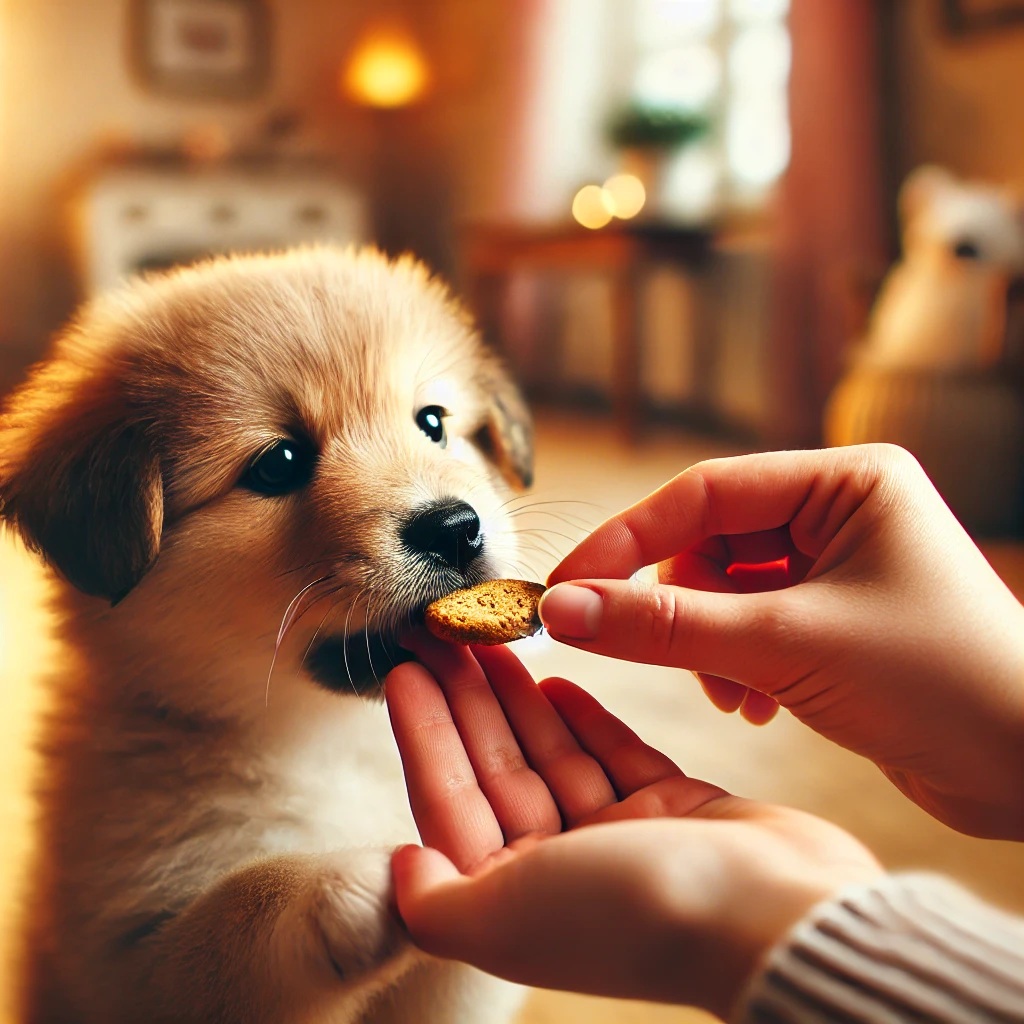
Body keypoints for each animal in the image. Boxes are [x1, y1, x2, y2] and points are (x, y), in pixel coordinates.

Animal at [0, 247, 532, 1024]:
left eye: (431, 422)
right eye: (278, 464)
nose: (456, 528)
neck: (332, 738)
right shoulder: (118, 955)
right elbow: (231, 923)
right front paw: (338, 890)